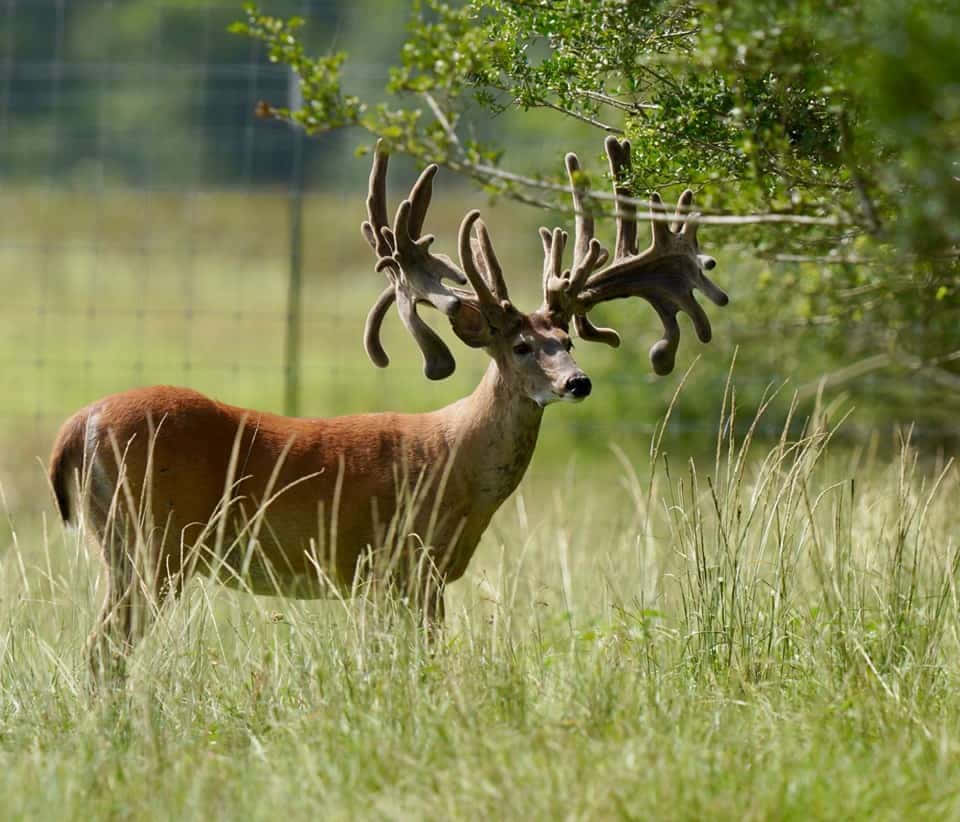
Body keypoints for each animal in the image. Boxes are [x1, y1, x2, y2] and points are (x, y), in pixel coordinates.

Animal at [48, 137, 728, 676]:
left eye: (568, 340)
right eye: (522, 346)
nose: (578, 383)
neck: (458, 464)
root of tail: (76, 427)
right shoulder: (402, 560)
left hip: (124, 545)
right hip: (156, 539)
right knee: (103, 649)